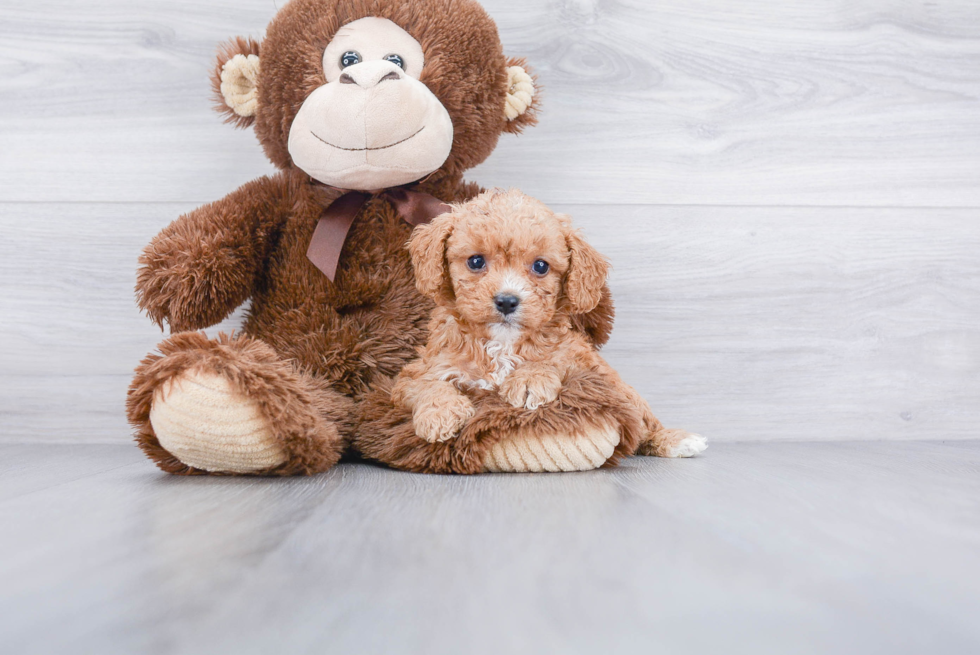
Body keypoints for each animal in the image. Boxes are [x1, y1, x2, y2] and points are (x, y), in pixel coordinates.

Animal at [386, 187, 708, 468]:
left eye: (541, 266)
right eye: (475, 261)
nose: (507, 301)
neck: (502, 343)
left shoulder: (585, 363)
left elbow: (555, 360)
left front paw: (530, 378)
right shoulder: (418, 372)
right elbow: (427, 384)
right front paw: (439, 414)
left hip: (624, 391)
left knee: (645, 423)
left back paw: (676, 439)